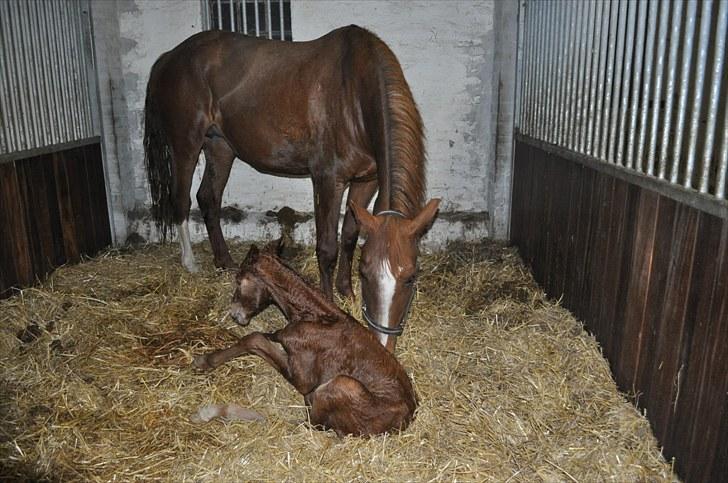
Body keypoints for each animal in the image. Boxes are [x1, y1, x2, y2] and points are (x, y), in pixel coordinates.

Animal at [141, 25, 438, 352]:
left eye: (411, 277)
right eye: (366, 272)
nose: (383, 343)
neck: (353, 92)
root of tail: (169, 58)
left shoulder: (366, 181)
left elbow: (349, 236)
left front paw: (346, 292)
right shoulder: (327, 180)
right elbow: (328, 248)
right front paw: (331, 301)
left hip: (220, 147)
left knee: (208, 198)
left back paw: (224, 262)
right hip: (186, 145)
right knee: (180, 201)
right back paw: (191, 263)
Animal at [193, 244, 418, 436]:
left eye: (239, 280)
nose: (234, 314)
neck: (313, 316)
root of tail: (406, 420)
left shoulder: (303, 380)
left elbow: (254, 338)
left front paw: (204, 360)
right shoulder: (280, 335)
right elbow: (267, 337)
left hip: (339, 384)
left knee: (301, 423)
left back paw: (210, 412)